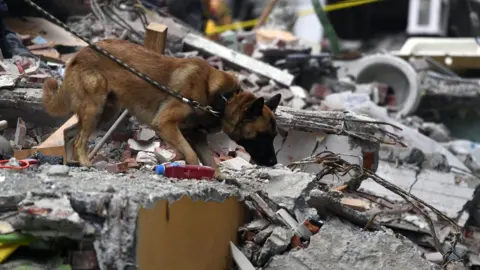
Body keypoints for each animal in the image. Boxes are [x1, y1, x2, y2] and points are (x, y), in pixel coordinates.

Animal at [42, 39, 282, 179]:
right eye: (262, 135)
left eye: (274, 136)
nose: (273, 163)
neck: (222, 100)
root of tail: (79, 53)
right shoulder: (166, 124)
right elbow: (192, 155)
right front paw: (190, 173)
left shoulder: (197, 137)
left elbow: (210, 162)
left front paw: (218, 176)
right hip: (95, 109)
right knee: (79, 140)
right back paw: (84, 163)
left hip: (104, 114)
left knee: (69, 133)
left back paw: (71, 163)